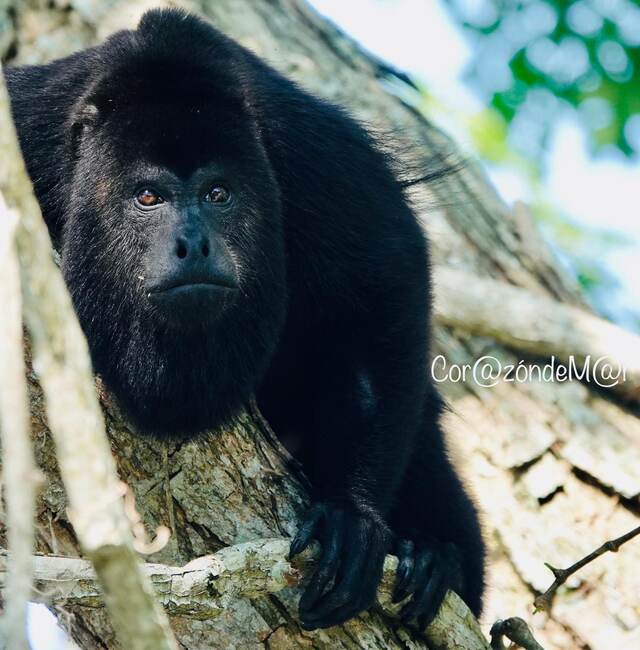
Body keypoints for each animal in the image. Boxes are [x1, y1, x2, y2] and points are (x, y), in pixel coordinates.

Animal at [6, 8, 485, 630]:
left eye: (218, 193)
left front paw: (353, 515)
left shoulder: (324, 162)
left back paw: (436, 555)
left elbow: (384, 289)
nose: (192, 244)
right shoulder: (27, 131)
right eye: (146, 197)